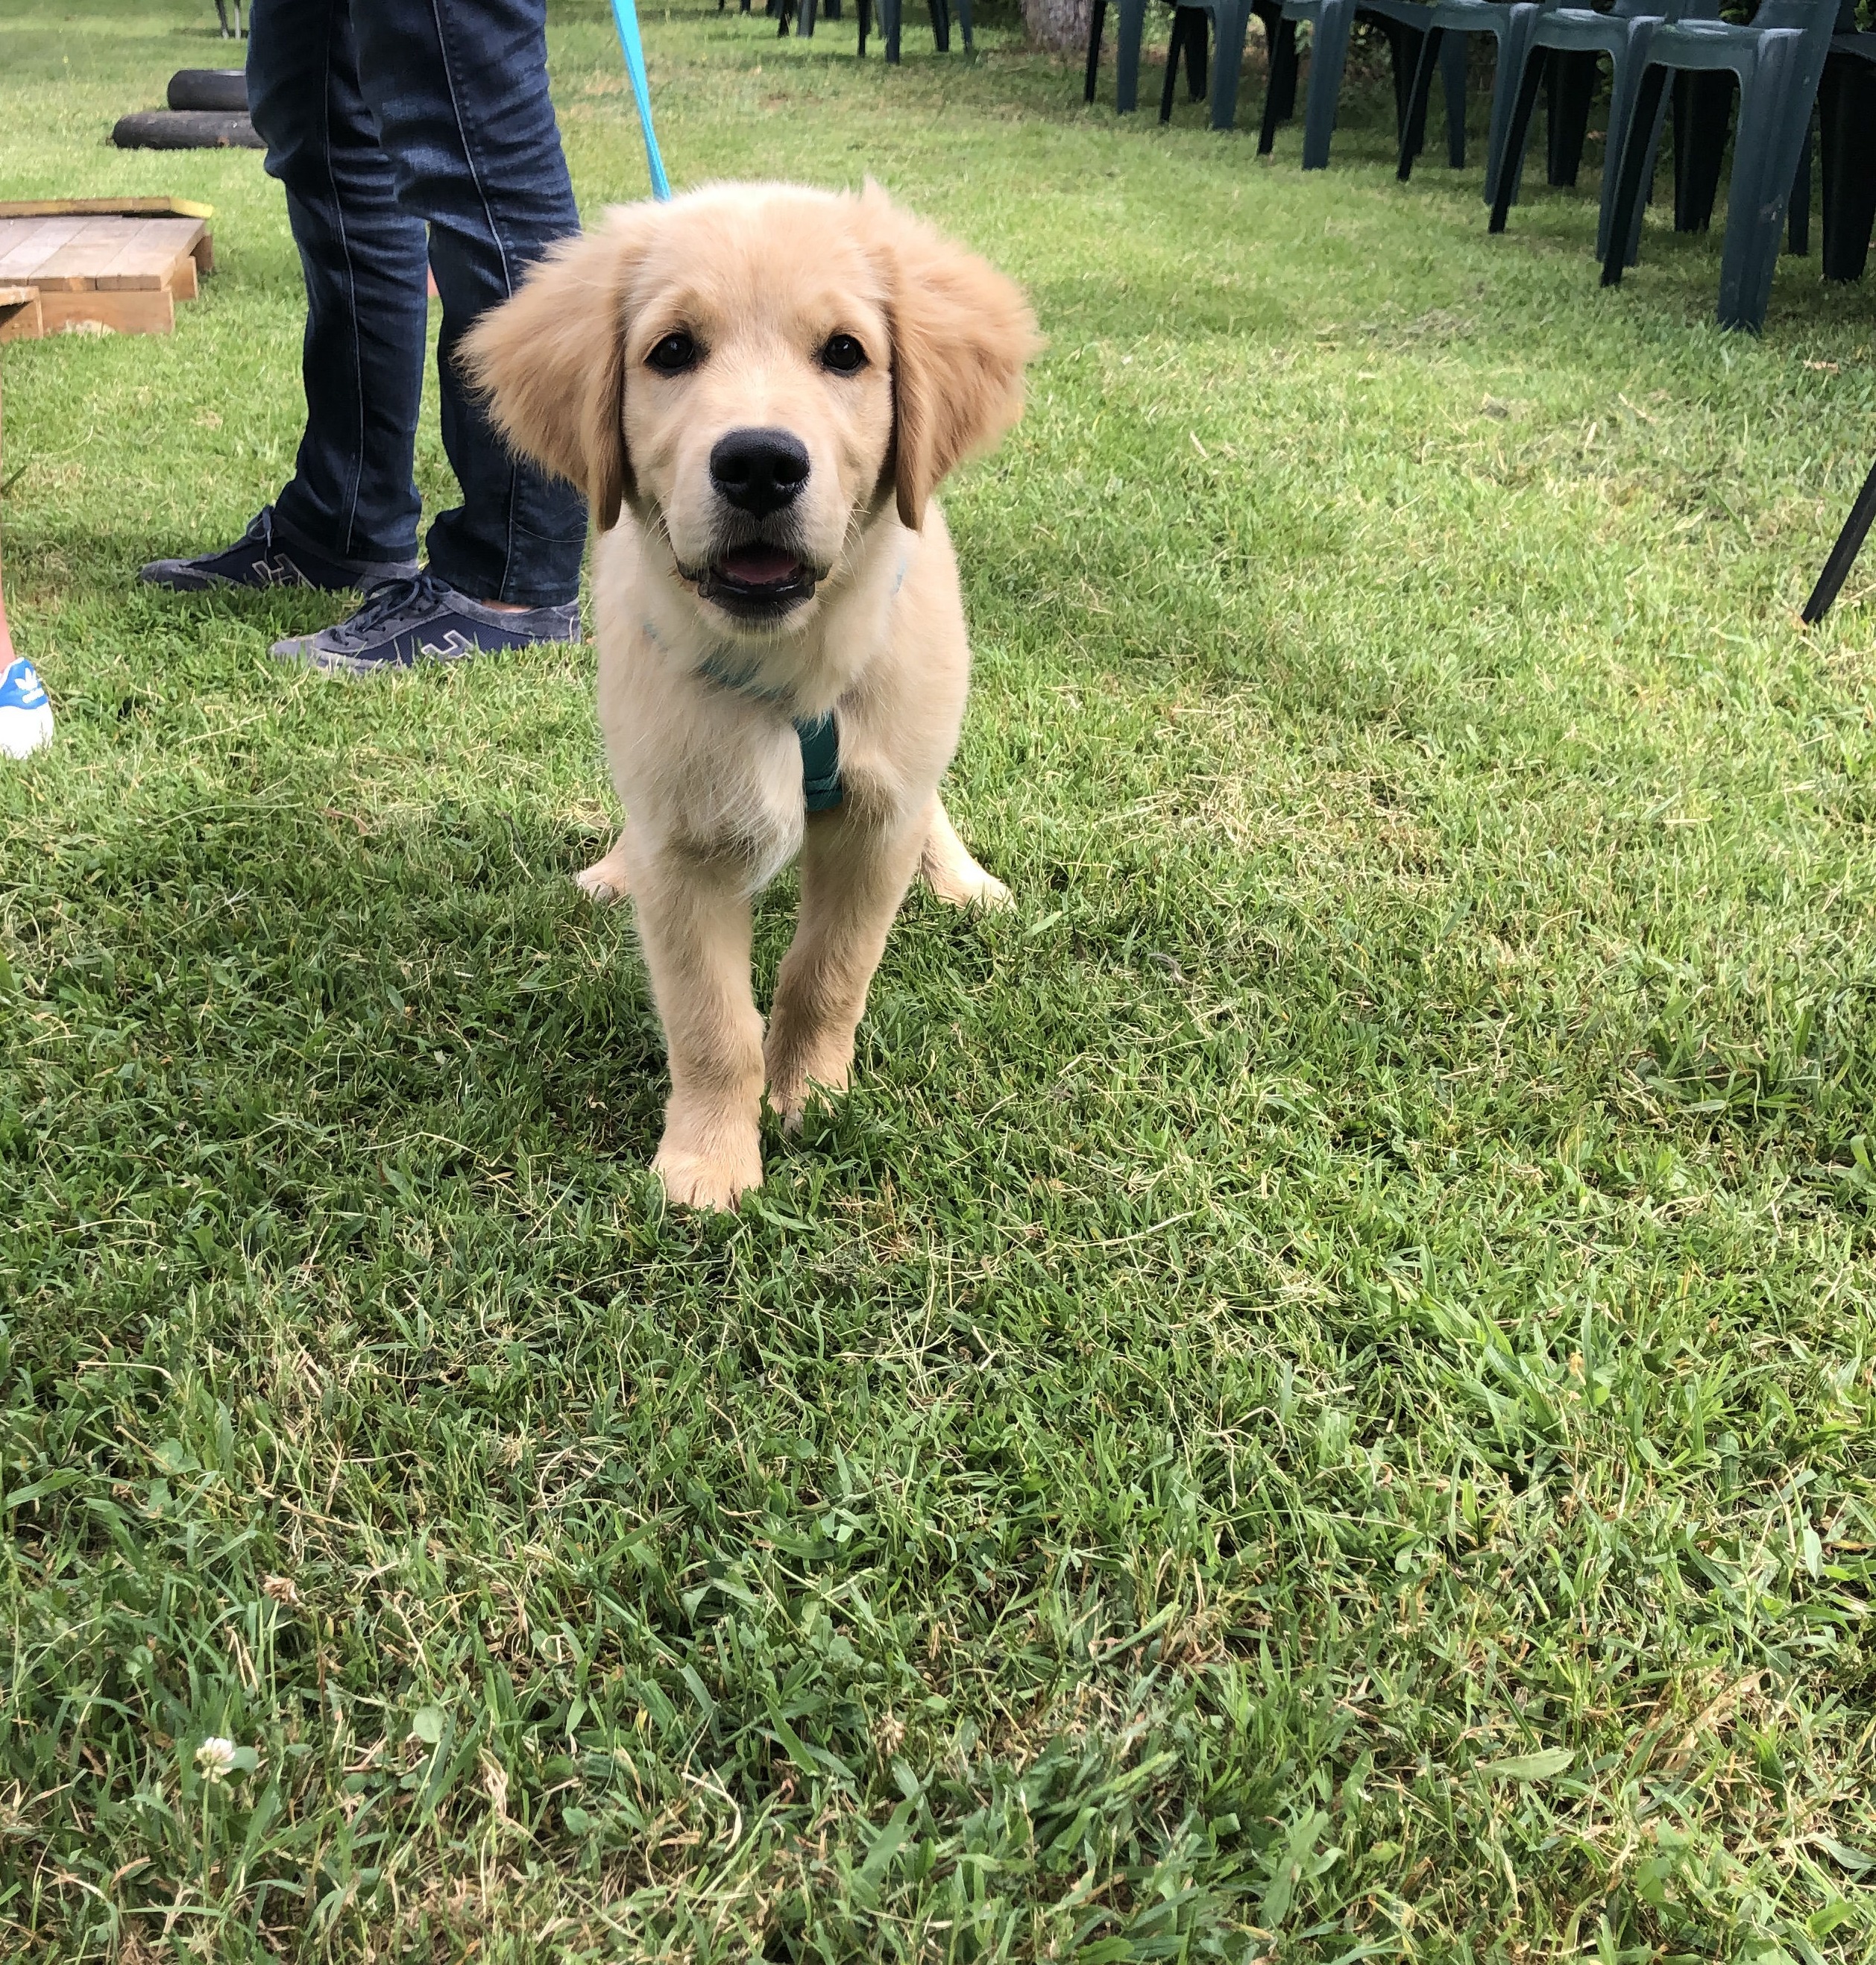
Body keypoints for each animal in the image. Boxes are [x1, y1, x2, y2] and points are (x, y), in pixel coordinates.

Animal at [462, 184, 1037, 1202]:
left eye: (844, 352)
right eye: (671, 351)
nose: (760, 464)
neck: (789, 668)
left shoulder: (874, 819)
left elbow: (828, 971)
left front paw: (812, 1096)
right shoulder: (685, 835)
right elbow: (708, 1022)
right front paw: (708, 1160)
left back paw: (962, 878)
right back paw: (613, 871)